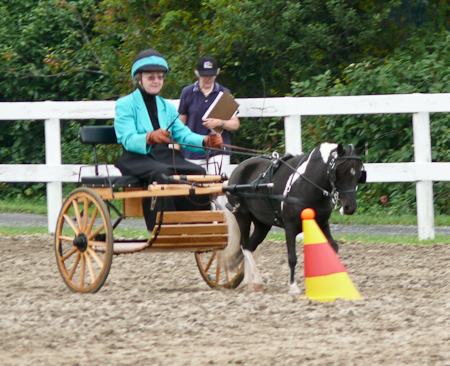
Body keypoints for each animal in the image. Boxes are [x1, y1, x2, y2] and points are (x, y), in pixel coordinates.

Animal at [222, 143, 366, 294]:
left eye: (359, 174)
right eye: (341, 171)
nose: (350, 207)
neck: (307, 182)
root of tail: (238, 169)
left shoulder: (322, 223)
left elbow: (333, 248)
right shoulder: (290, 227)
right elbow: (292, 257)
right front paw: (293, 286)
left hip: (262, 224)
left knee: (250, 245)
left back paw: (251, 282)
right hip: (242, 216)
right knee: (245, 245)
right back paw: (257, 279)